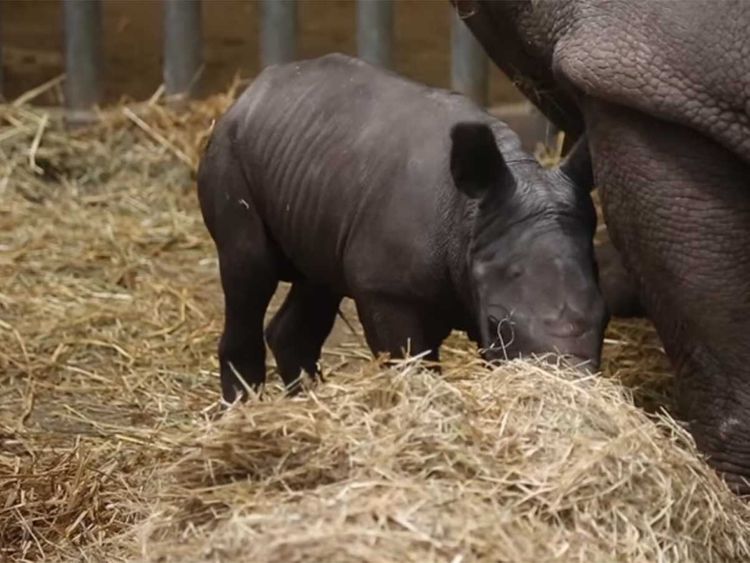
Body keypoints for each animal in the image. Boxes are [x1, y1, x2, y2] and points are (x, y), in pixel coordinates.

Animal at [197, 53, 608, 404]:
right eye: (497, 324)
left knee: (317, 281)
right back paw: (243, 410)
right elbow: (411, 363)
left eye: (605, 319)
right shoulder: (386, 291)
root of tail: (250, 93)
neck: (469, 217)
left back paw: (306, 400)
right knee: (249, 272)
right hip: (230, 152)